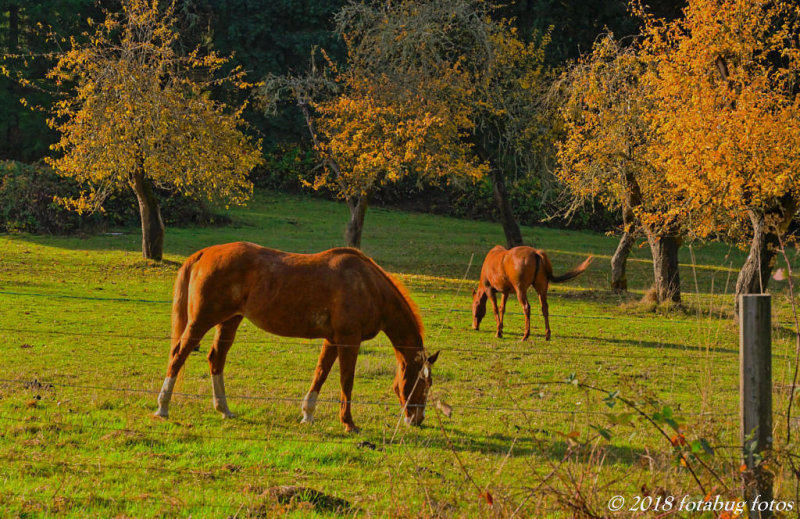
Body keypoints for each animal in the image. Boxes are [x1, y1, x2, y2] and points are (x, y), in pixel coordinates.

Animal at [152, 242, 434, 432]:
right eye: (423, 383)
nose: (417, 420)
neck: (367, 285)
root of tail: (204, 253)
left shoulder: (332, 339)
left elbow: (320, 373)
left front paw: (307, 414)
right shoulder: (348, 339)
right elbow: (347, 381)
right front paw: (348, 423)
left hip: (229, 321)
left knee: (216, 359)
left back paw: (224, 409)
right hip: (201, 321)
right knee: (178, 355)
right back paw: (163, 407)